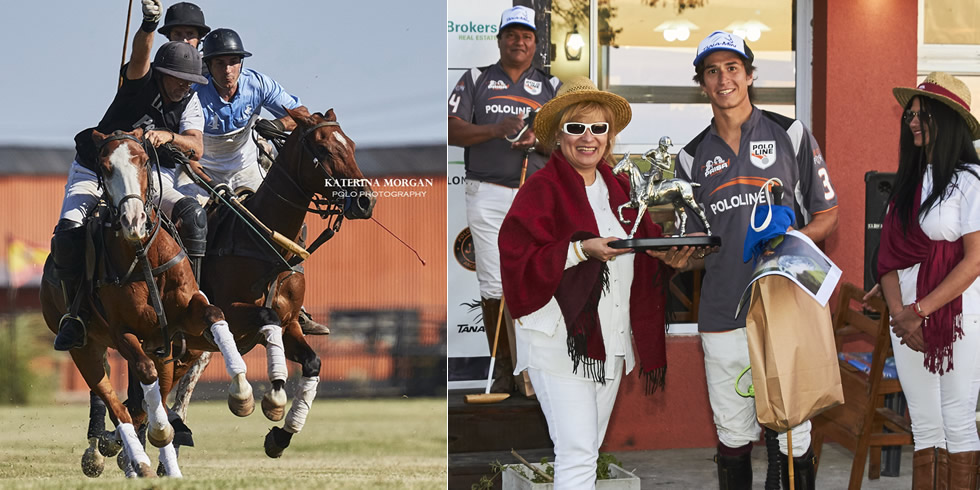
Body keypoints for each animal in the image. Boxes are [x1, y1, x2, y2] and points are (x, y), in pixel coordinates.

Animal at [39, 129, 254, 478]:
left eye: (141, 161)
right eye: (104, 167)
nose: (133, 220)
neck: (143, 256)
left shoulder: (186, 314)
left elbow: (215, 315)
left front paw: (243, 394)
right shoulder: (121, 333)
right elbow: (142, 378)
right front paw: (154, 434)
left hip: (162, 349)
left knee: (149, 398)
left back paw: (165, 466)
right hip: (85, 349)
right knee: (118, 407)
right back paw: (135, 458)